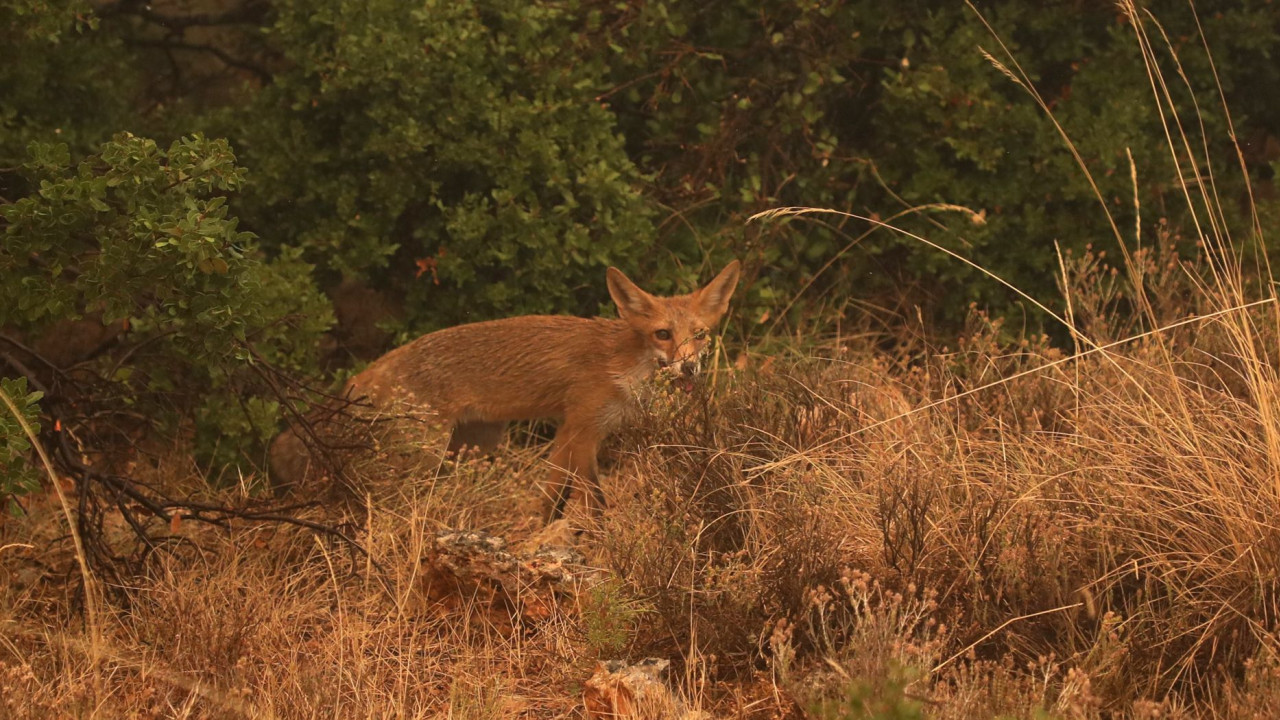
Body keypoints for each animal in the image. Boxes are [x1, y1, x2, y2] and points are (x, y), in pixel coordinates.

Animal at [275, 260, 747, 517]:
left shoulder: (571, 433)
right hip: (421, 456)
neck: (624, 365)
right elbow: (592, 500)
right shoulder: (581, 428)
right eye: (663, 334)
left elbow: (552, 500)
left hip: (474, 446)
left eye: (700, 335)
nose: (689, 367)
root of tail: (369, 371)